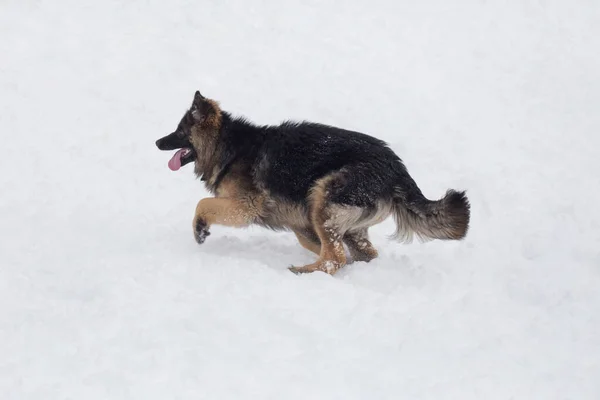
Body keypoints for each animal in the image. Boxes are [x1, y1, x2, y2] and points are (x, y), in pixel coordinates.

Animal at [156, 90, 468, 276]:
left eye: (180, 132)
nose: (157, 142)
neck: (228, 146)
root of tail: (397, 169)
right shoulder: (300, 225)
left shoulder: (245, 205)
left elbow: (202, 204)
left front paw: (200, 230)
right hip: (335, 218)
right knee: (358, 253)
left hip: (323, 198)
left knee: (335, 258)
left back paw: (303, 271)